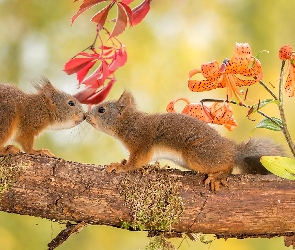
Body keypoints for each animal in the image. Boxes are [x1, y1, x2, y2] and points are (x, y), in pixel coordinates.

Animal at [85, 91, 284, 190]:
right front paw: (121, 162)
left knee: (228, 164)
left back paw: (219, 176)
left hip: (198, 155)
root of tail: (232, 149)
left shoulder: (142, 142)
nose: (86, 116)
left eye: (101, 110)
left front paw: (120, 167)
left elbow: (136, 162)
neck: (129, 123)